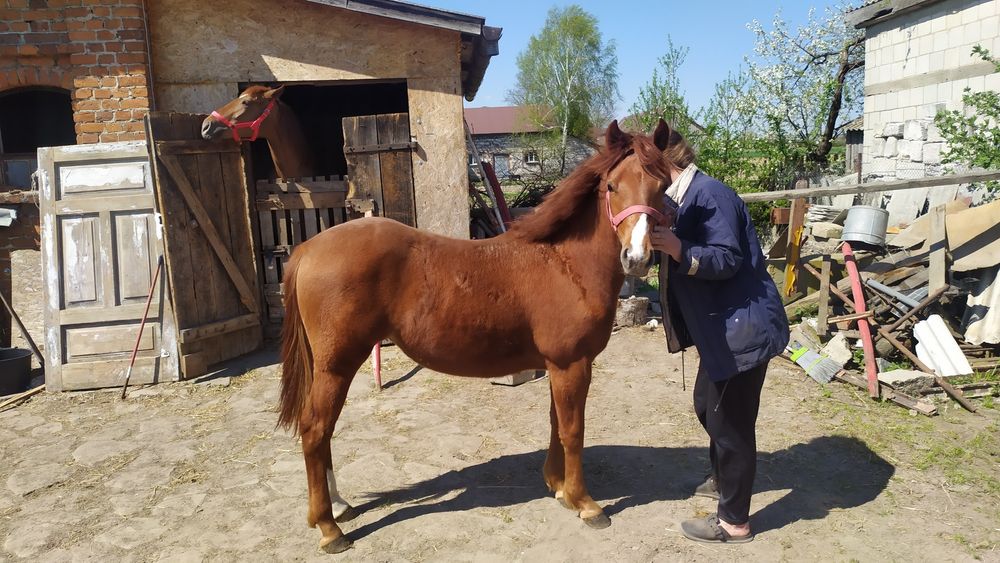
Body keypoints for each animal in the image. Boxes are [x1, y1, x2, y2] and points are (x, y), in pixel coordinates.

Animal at [278, 119, 676, 556]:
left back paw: (338, 506)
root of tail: (308, 249)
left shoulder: (559, 366)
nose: (636, 258)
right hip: (337, 364)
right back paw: (329, 528)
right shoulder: (572, 364)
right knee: (316, 429)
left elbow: (556, 422)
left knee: (322, 432)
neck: (564, 264)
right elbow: (573, 431)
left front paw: (557, 487)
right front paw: (585, 503)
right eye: (612, 186)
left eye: (663, 186)